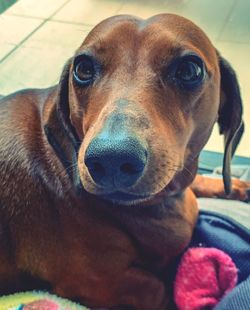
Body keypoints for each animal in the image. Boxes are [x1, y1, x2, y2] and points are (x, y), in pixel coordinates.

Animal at [0, 13, 249, 310]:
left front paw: (232, 187)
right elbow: (156, 287)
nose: (111, 159)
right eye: (83, 68)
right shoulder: (96, 282)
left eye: (190, 70)